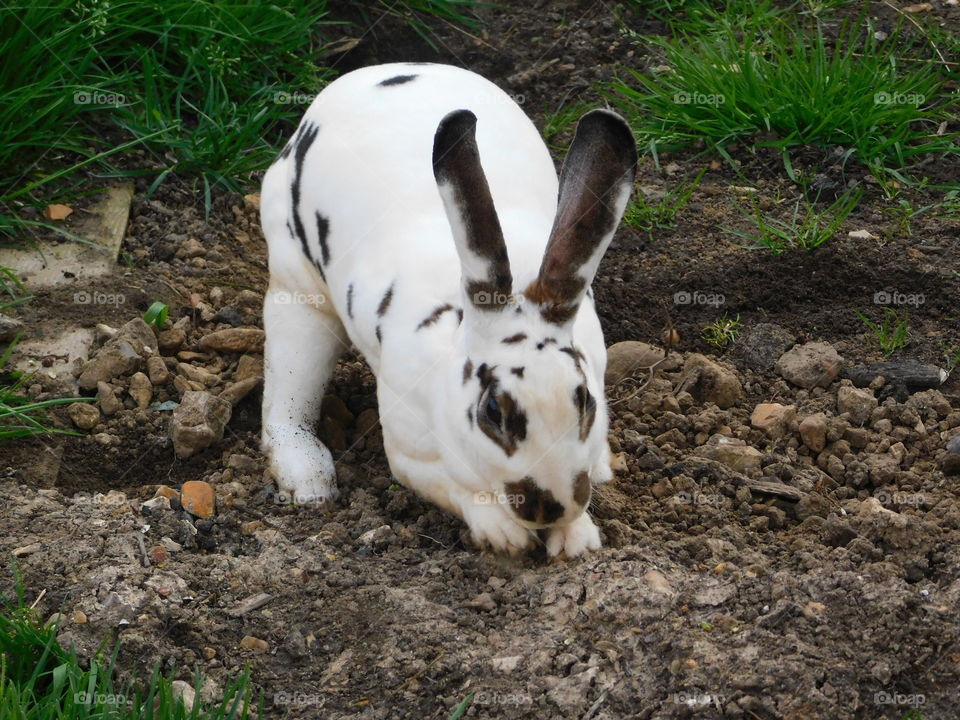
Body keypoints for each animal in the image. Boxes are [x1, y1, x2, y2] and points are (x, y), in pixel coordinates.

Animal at [260, 62, 636, 557]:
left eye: (586, 401)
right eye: (493, 410)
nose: (550, 506)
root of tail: (379, 70)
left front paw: (577, 538)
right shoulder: (410, 455)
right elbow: (455, 489)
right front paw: (505, 534)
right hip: (296, 289)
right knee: (287, 393)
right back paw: (309, 482)